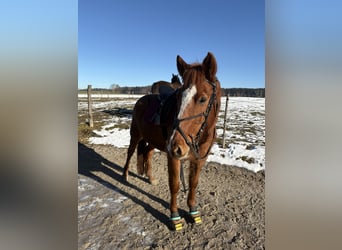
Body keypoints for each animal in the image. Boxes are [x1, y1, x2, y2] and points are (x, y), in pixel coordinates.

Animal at [123, 52, 222, 230]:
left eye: (203, 99)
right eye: (178, 97)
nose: (176, 145)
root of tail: (141, 100)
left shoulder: (199, 160)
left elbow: (193, 183)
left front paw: (193, 211)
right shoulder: (174, 157)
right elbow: (175, 185)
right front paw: (175, 216)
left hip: (153, 141)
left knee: (147, 153)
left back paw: (151, 177)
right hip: (135, 135)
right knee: (130, 152)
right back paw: (125, 175)